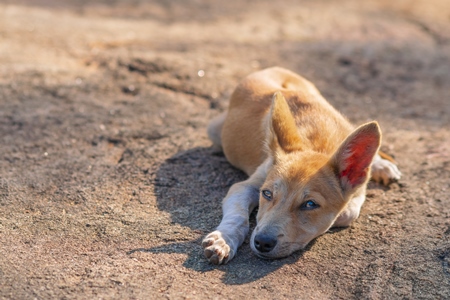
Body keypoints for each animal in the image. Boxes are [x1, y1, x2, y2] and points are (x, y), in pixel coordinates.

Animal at [202, 67, 400, 264]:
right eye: (267, 194)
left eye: (310, 204)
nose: (262, 242)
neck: (318, 144)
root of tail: (272, 68)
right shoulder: (244, 186)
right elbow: (237, 217)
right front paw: (223, 239)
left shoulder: (357, 192)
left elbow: (348, 212)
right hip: (214, 131)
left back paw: (382, 165)